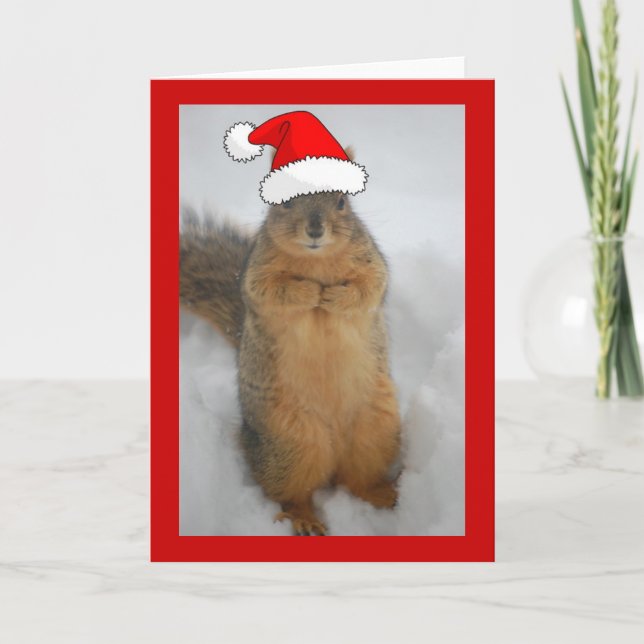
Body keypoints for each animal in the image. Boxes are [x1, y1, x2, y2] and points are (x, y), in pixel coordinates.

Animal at [180, 175, 401, 537]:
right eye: (284, 201)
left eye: (342, 202)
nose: (315, 229)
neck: (316, 260)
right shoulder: (257, 275)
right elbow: (272, 291)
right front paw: (309, 292)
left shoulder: (371, 262)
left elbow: (369, 288)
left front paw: (335, 296)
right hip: (291, 444)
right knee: (291, 493)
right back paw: (305, 519)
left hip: (376, 430)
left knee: (358, 479)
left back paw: (384, 495)